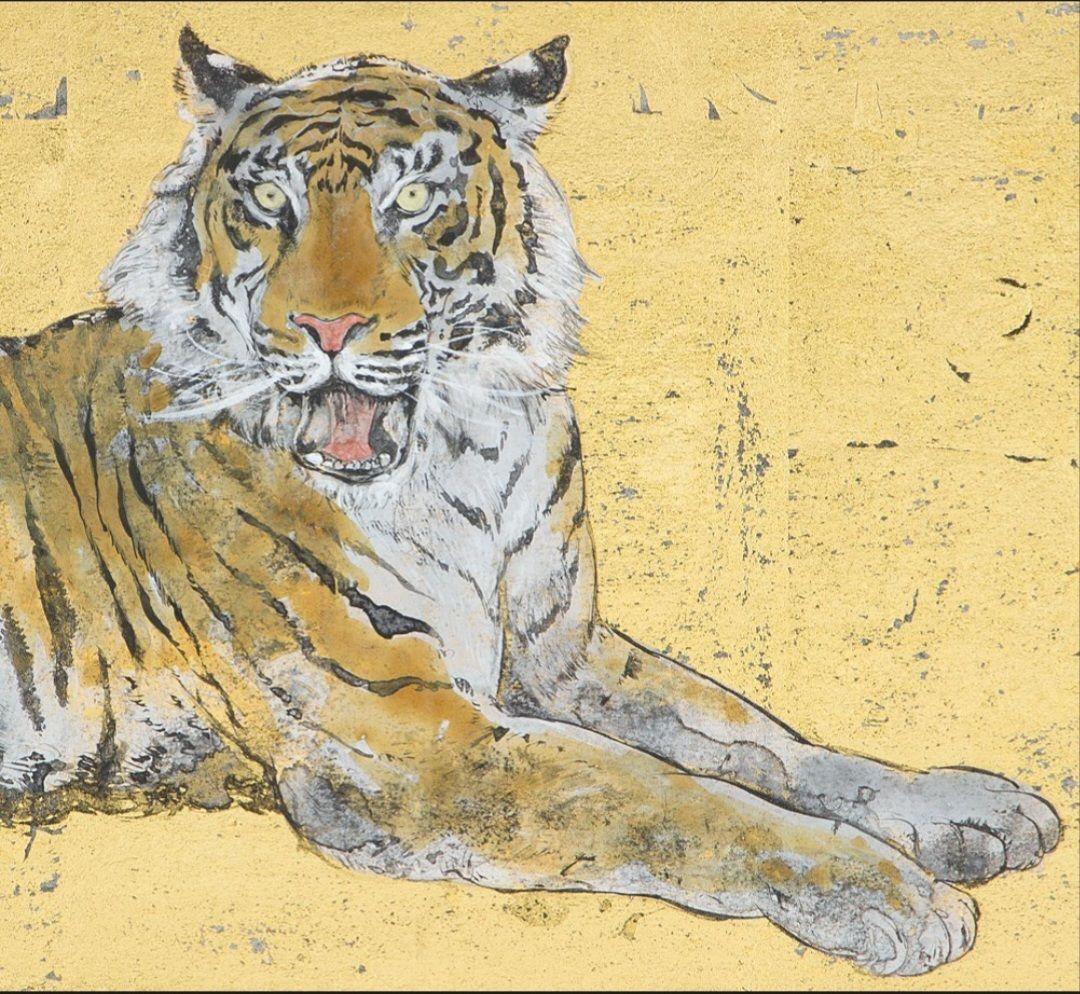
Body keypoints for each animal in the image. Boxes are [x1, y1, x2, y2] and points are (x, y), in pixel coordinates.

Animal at [0, 28, 1060, 976]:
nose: (326, 328)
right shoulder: (411, 736)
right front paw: (896, 899)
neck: (468, 457)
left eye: (412, 201)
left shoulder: (564, 654)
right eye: (270, 200)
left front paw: (963, 808)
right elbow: (672, 797)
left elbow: (759, 740)